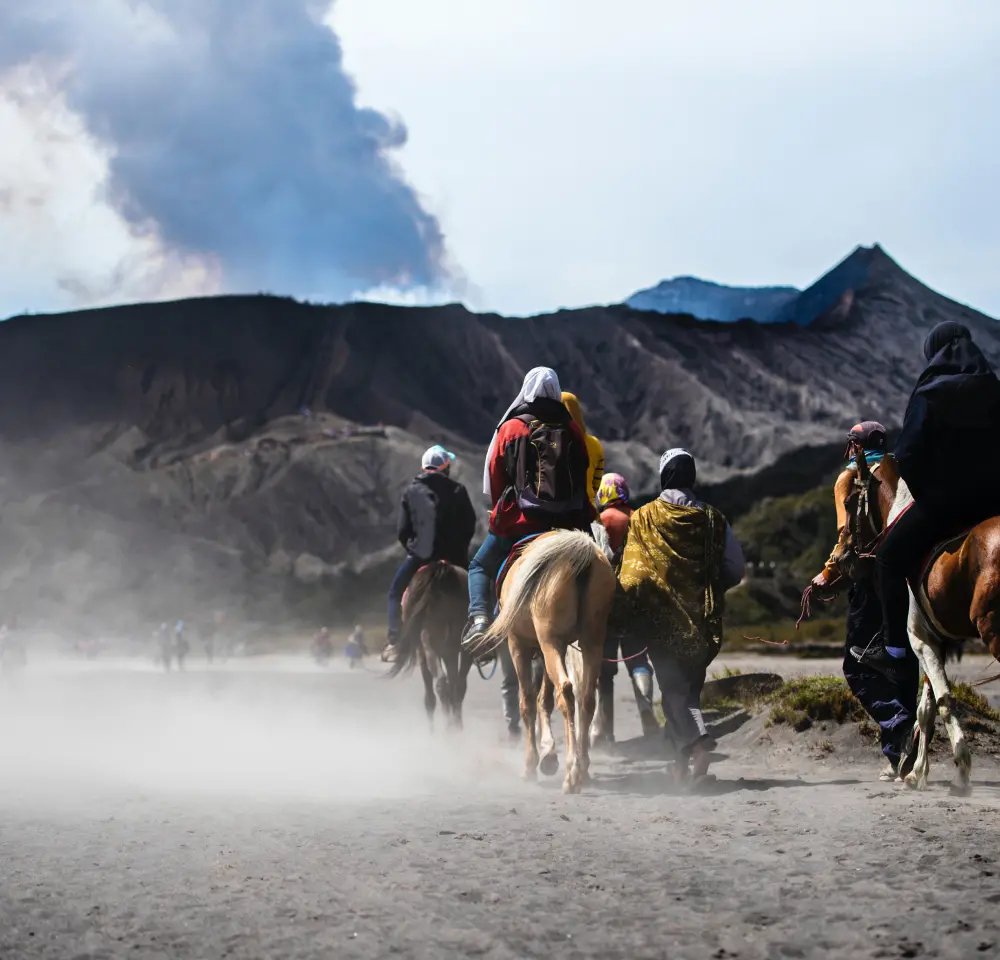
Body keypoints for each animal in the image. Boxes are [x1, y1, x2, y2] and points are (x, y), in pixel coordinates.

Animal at [386, 564, 472, 728]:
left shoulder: (423, 652)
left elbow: (429, 698)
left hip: (431, 644)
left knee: (442, 684)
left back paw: (450, 727)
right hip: (454, 646)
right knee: (454, 685)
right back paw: (454, 726)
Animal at [470, 528, 616, 792]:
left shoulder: (519, 645)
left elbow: (528, 702)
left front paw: (532, 764)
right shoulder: (551, 648)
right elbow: (544, 699)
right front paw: (548, 754)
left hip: (550, 642)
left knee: (565, 691)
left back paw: (571, 773)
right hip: (589, 640)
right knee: (586, 698)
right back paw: (583, 767)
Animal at [824, 450, 1000, 796]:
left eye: (849, 502)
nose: (840, 556)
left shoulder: (919, 638)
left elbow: (942, 703)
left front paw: (960, 770)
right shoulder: (934, 642)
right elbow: (926, 710)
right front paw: (916, 771)